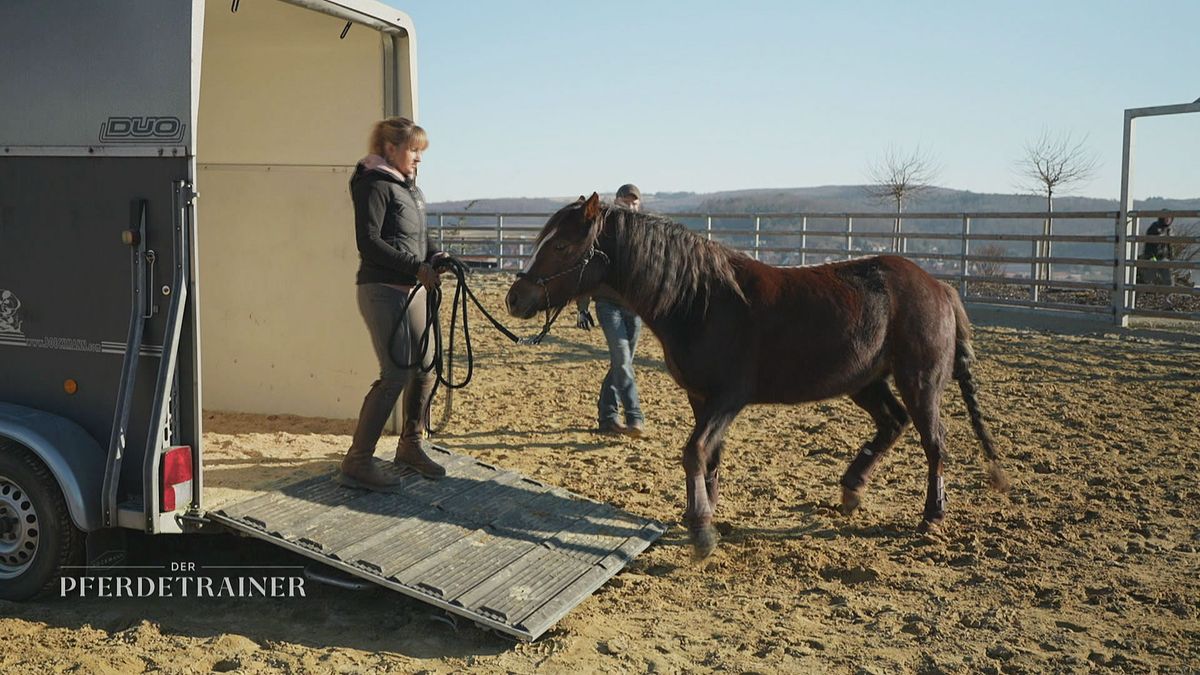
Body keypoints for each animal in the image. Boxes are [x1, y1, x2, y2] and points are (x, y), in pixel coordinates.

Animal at [501, 192, 1008, 554]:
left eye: (562, 244)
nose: (515, 298)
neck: (700, 300)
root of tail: (940, 286)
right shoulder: (702, 398)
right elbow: (709, 456)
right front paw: (704, 512)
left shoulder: (729, 398)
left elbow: (693, 452)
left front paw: (702, 531)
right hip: (864, 381)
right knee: (893, 422)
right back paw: (851, 490)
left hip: (919, 381)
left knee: (934, 441)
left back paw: (931, 515)